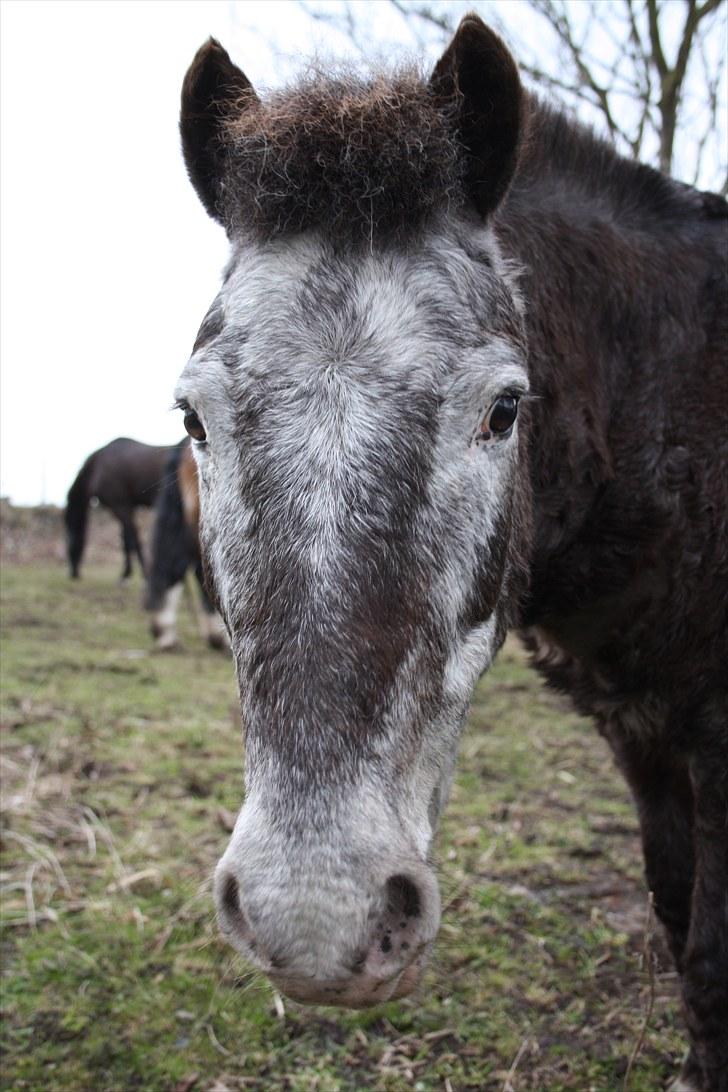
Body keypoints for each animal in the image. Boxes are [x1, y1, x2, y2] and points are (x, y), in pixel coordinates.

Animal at [64, 434, 174, 580]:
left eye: (69, 539)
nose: (73, 573)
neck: (97, 467)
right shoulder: (126, 506)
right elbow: (126, 540)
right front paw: (127, 573)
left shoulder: (119, 505)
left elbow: (132, 539)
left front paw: (142, 572)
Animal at [173, 19, 724, 1092]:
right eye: (192, 418)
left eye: (504, 410)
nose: (316, 916)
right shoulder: (644, 744)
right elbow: (680, 927)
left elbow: (714, 961)